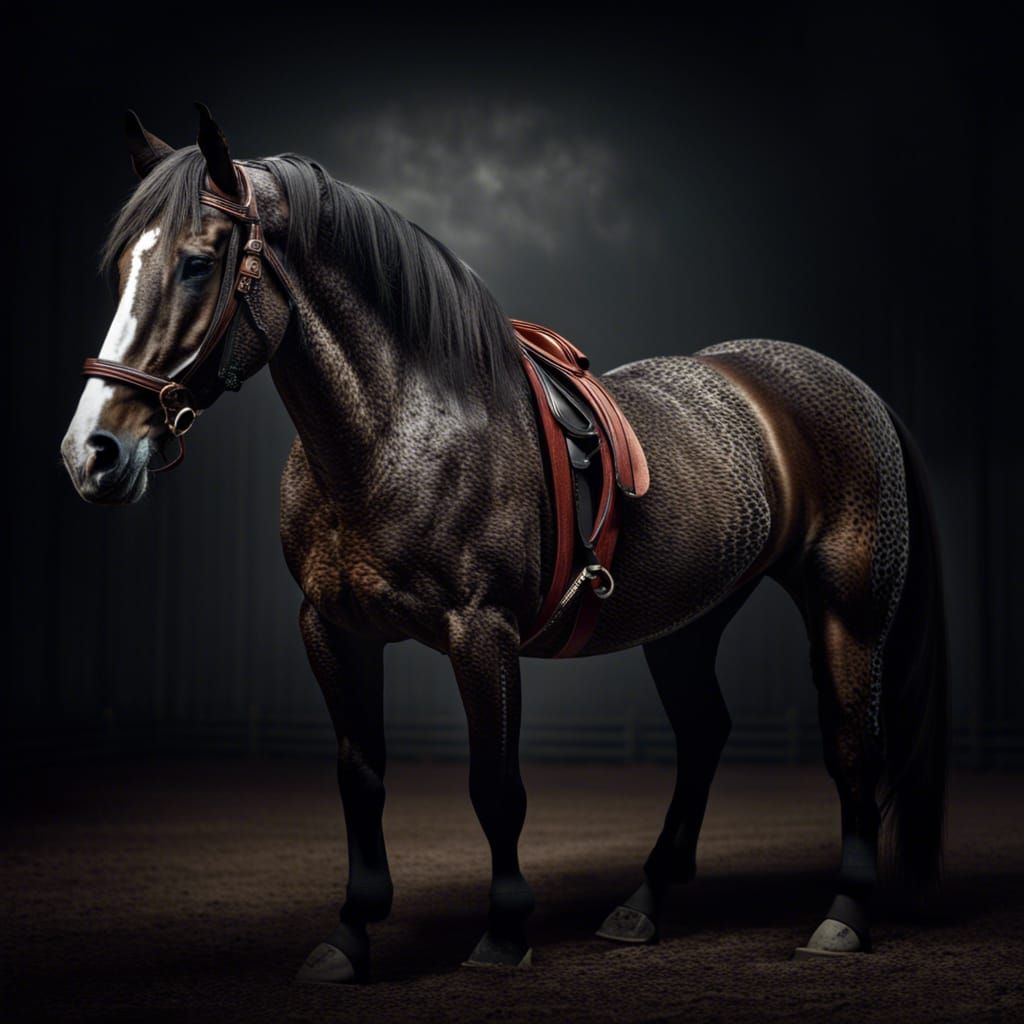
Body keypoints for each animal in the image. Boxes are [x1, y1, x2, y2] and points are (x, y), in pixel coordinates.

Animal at [60, 105, 948, 982]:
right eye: (121, 268)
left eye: (197, 264)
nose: (92, 452)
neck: (396, 435)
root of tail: (851, 387)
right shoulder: (332, 629)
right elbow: (361, 776)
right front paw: (351, 933)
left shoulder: (480, 633)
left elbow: (495, 784)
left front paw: (503, 932)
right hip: (688, 622)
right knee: (705, 734)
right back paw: (644, 904)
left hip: (849, 615)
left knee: (852, 746)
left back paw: (842, 916)